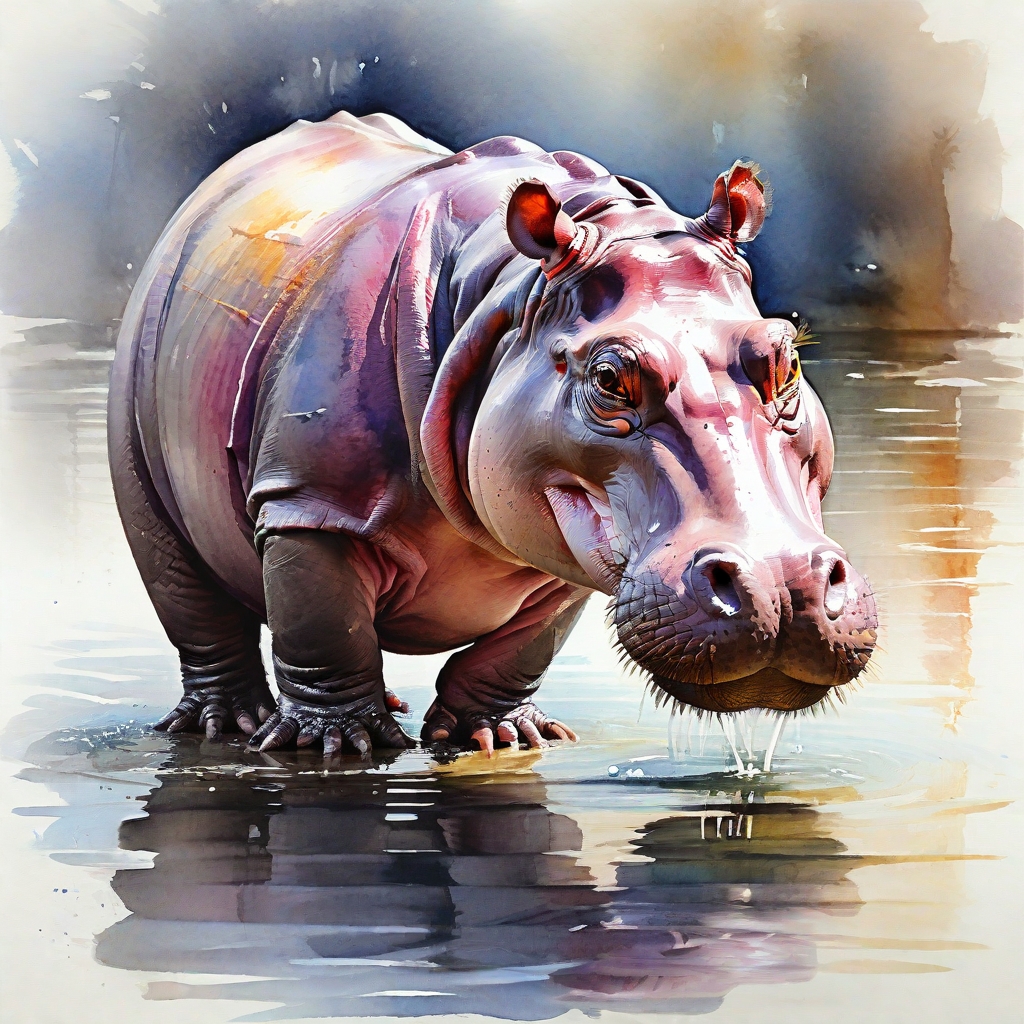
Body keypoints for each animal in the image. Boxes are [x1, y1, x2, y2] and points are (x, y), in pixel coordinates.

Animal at [108, 110, 877, 756]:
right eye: (608, 378)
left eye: (786, 358)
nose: (783, 590)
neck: (512, 293)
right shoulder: (314, 503)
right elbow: (323, 624)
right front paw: (337, 744)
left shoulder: (564, 537)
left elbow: (523, 647)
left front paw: (501, 737)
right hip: (143, 372)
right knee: (183, 585)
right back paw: (226, 725)